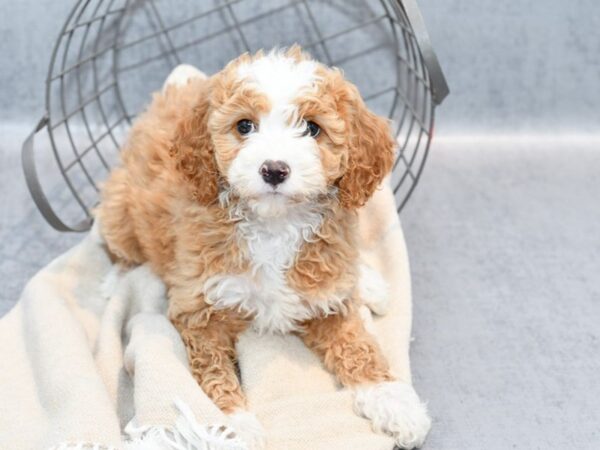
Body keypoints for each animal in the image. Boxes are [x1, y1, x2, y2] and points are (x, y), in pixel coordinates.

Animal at [96, 46, 428, 450]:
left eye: (312, 128)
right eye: (244, 126)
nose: (273, 169)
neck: (274, 225)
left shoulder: (327, 300)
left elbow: (358, 344)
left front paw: (394, 401)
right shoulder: (198, 310)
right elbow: (213, 371)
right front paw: (232, 426)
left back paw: (367, 282)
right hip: (117, 212)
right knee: (122, 250)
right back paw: (115, 279)